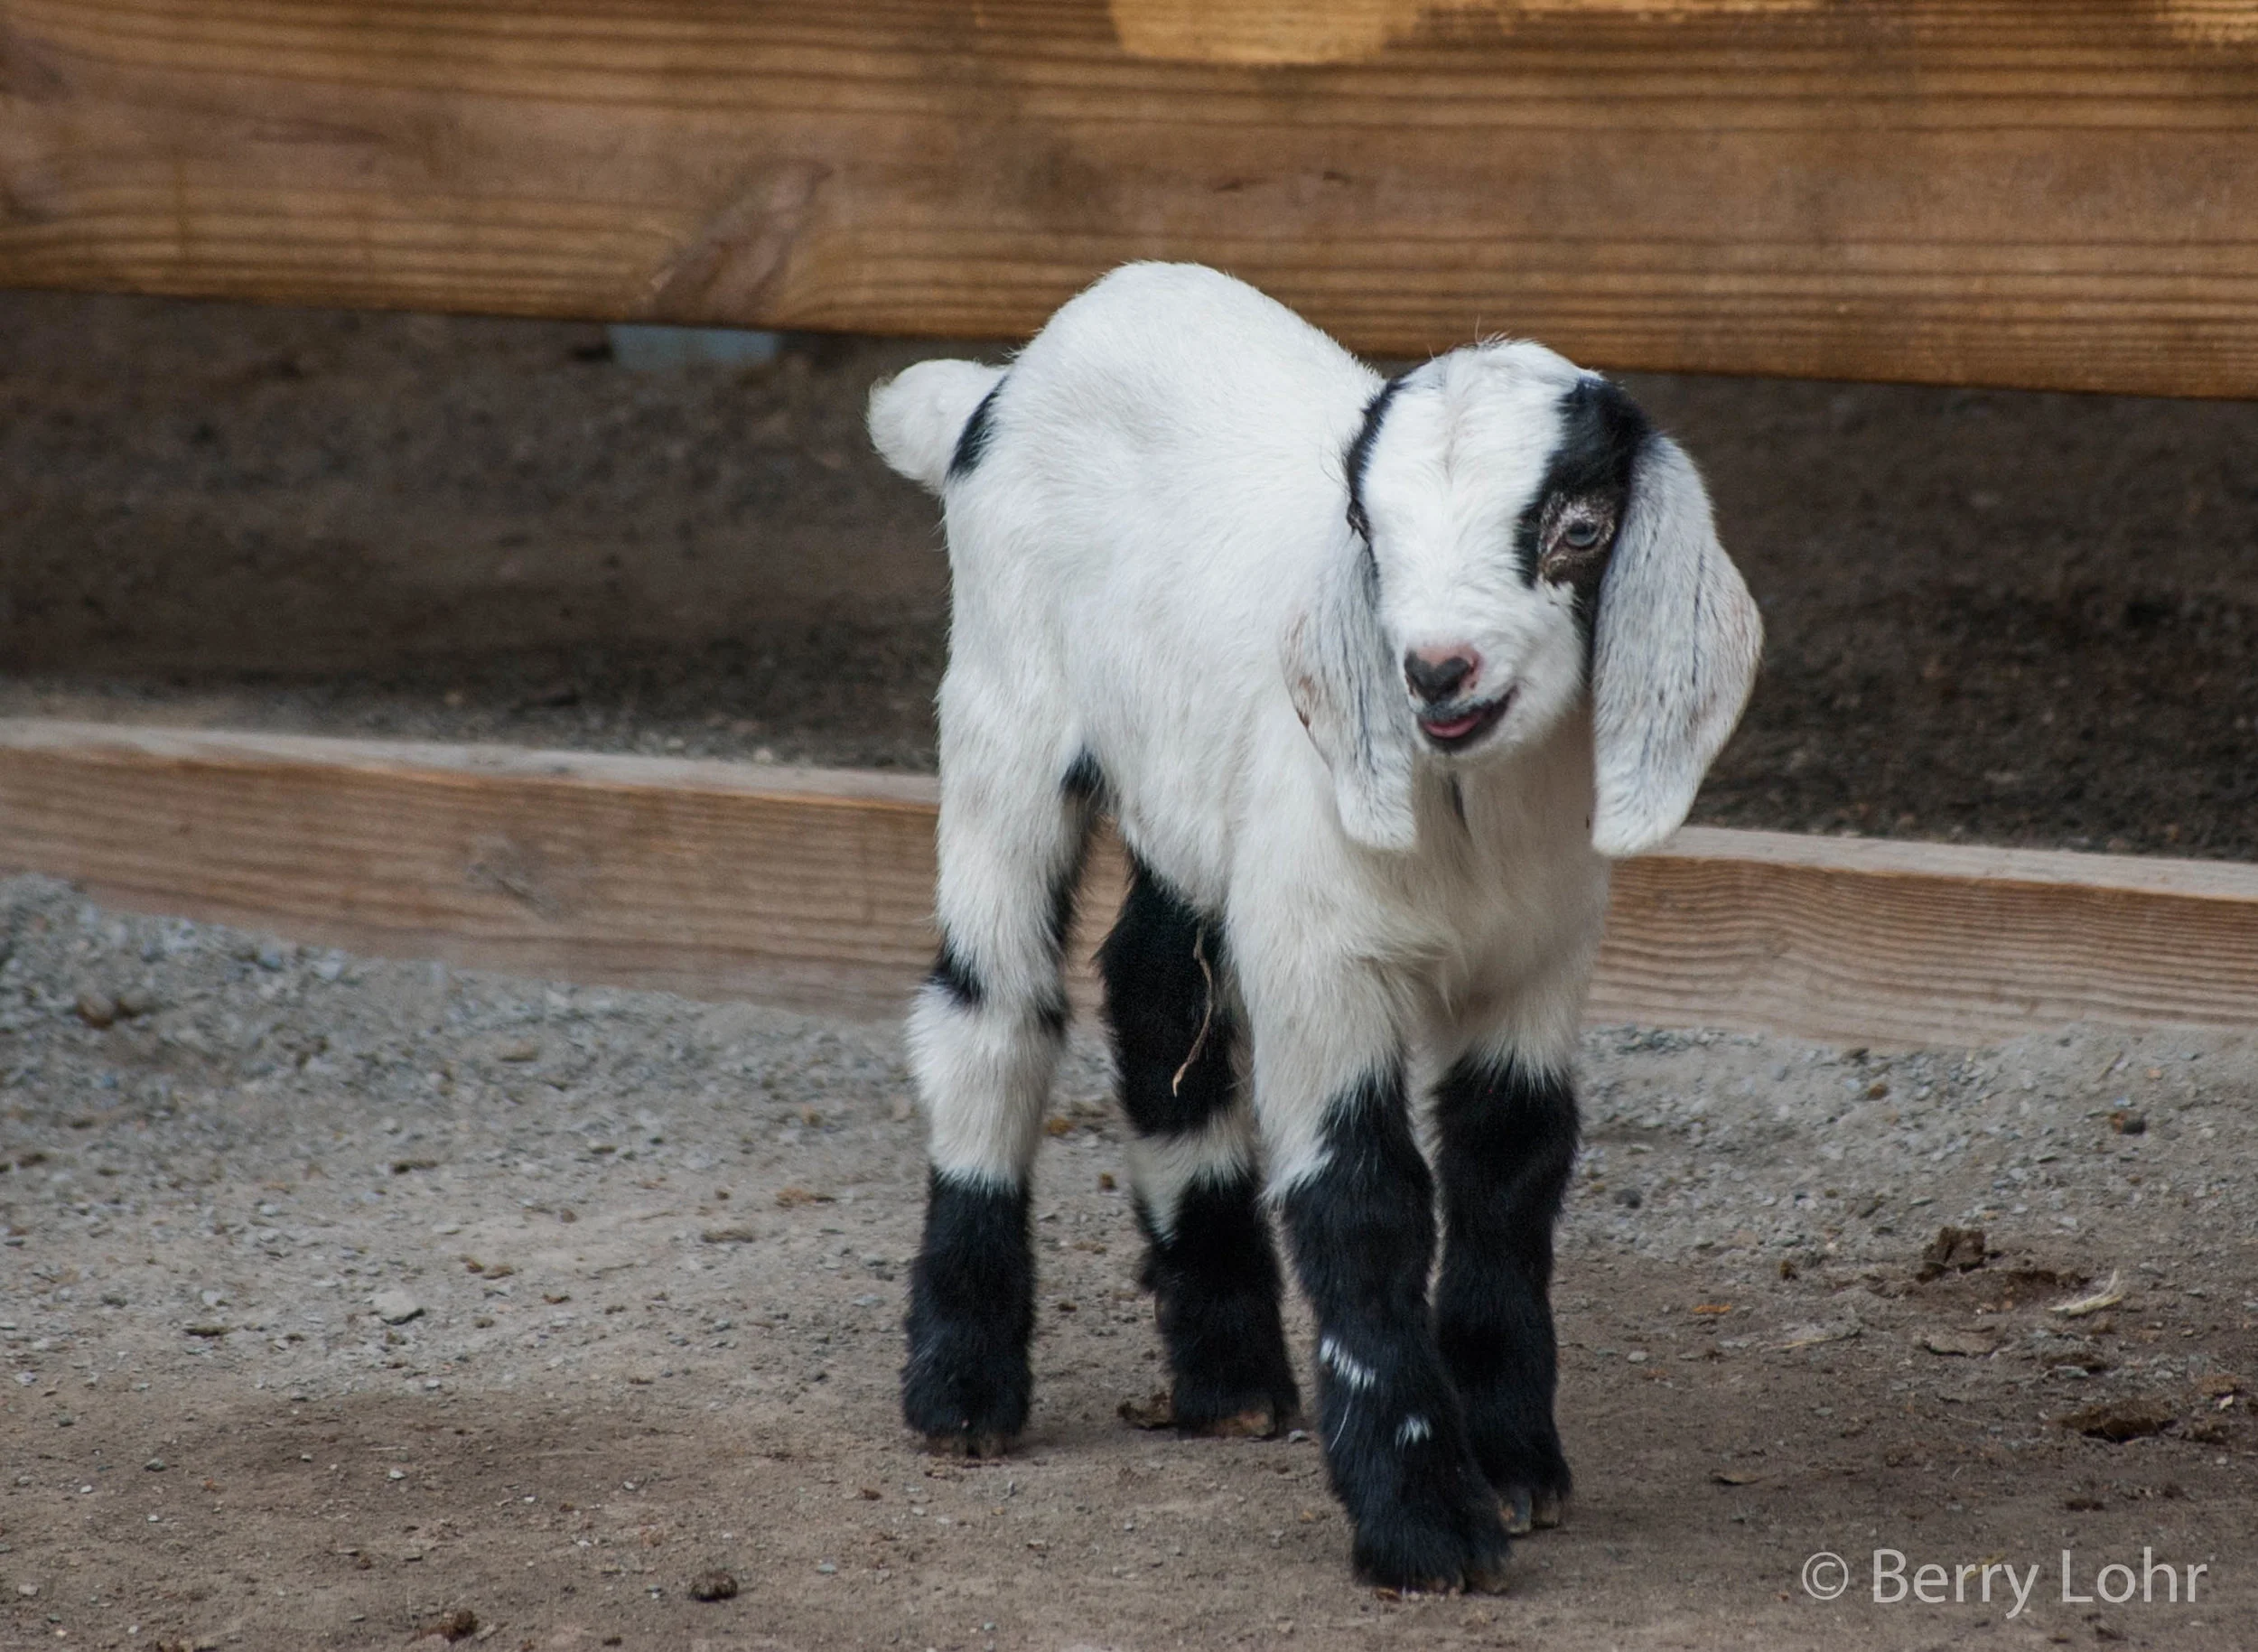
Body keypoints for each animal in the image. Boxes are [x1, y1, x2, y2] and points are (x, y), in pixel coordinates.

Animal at [867, 262, 1761, 1591]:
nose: (1435, 671)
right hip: (1001, 714)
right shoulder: (1321, 959)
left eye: (1581, 527)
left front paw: (1515, 1460)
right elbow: (1362, 1197)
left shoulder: (1539, 962)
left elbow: (1510, 1168)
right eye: (1369, 535)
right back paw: (963, 1388)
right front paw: (1423, 1523)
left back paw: (1228, 1373)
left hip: (1188, 798)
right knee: (992, 1011)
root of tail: (999, 384)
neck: (1468, 813)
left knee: (1154, 987)